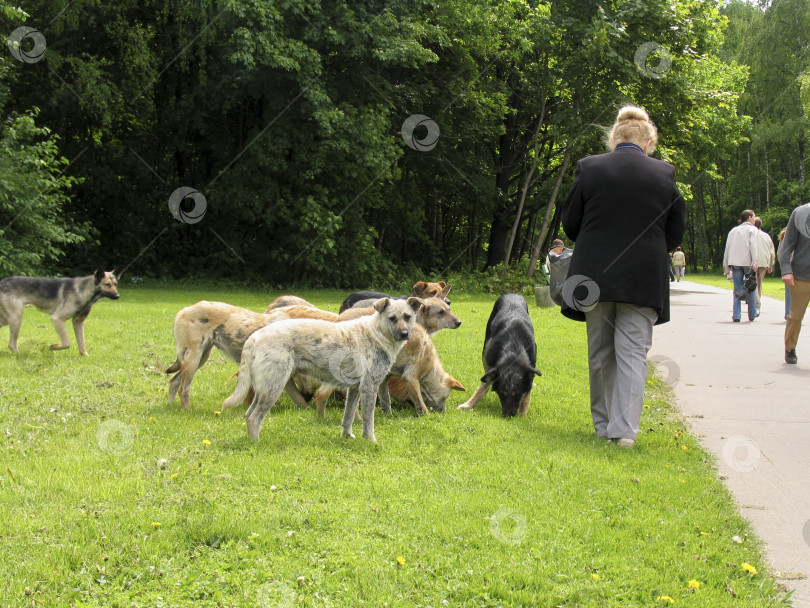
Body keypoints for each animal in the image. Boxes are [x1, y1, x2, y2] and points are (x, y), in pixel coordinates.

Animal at [224, 298, 420, 444]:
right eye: (392, 318)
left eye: (408, 317)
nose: (404, 334)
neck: (377, 333)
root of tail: (254, 337)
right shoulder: (369, 388)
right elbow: (368, 421)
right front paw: (371, 441)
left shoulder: (354, 389)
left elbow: (348, 416)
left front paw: (347, 436)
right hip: (273, 388)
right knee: (254, 417)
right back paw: (255, 443)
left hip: (264, 389)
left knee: (248, 414)